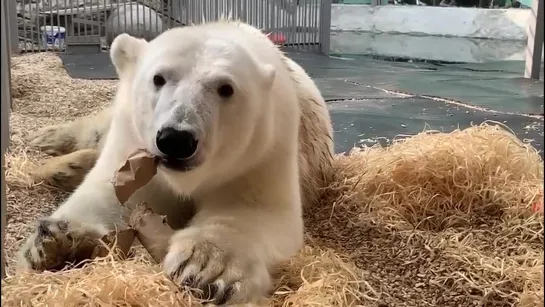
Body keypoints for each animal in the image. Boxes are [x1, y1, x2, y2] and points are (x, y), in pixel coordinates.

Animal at [17, 21, 334, 306]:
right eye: (159, 78)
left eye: (226, 88)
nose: (176, 139)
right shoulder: (132, 140)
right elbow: (110, 191)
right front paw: (54, 240)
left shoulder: (261, 151)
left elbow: (253, 211)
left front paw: (205, 267)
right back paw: (51, 150)